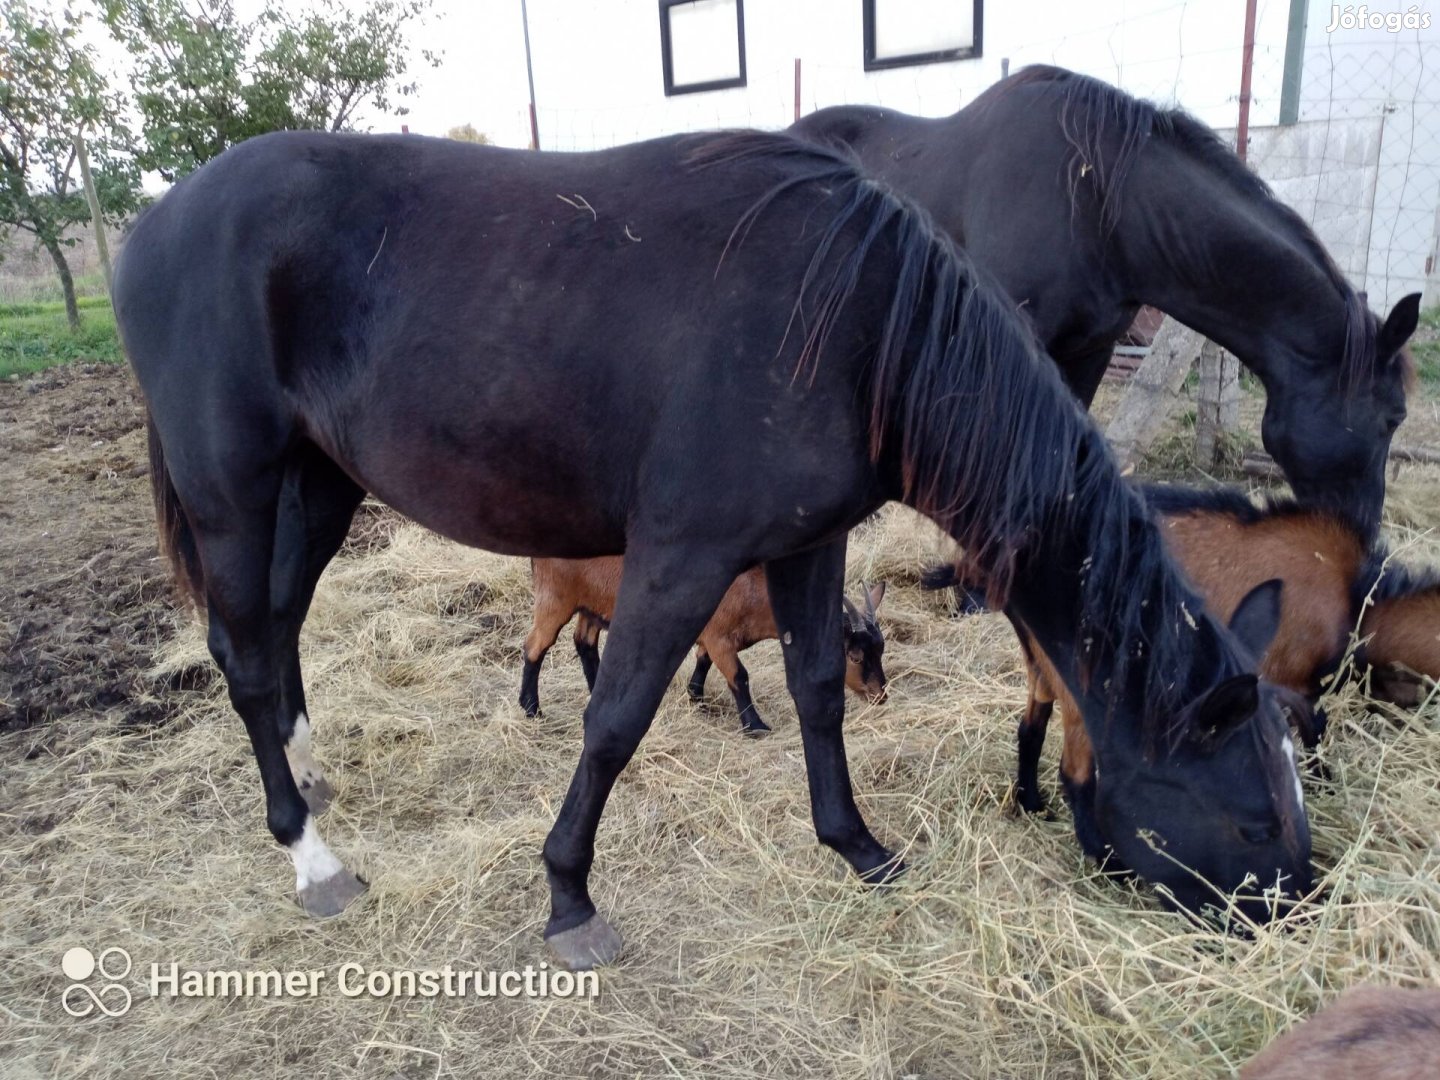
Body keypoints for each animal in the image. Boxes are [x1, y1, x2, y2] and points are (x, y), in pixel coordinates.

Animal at [518, 558, 875, 737]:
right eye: (853, 655)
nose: (879, 694)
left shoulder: (714, 636)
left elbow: (704, 662)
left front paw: (697, 699)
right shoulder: (720, 638)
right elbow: (739, 676)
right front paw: (755, 726)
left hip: (593, 605)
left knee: (585, 643)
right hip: (556, 599)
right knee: (536, 645)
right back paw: (531, 709)